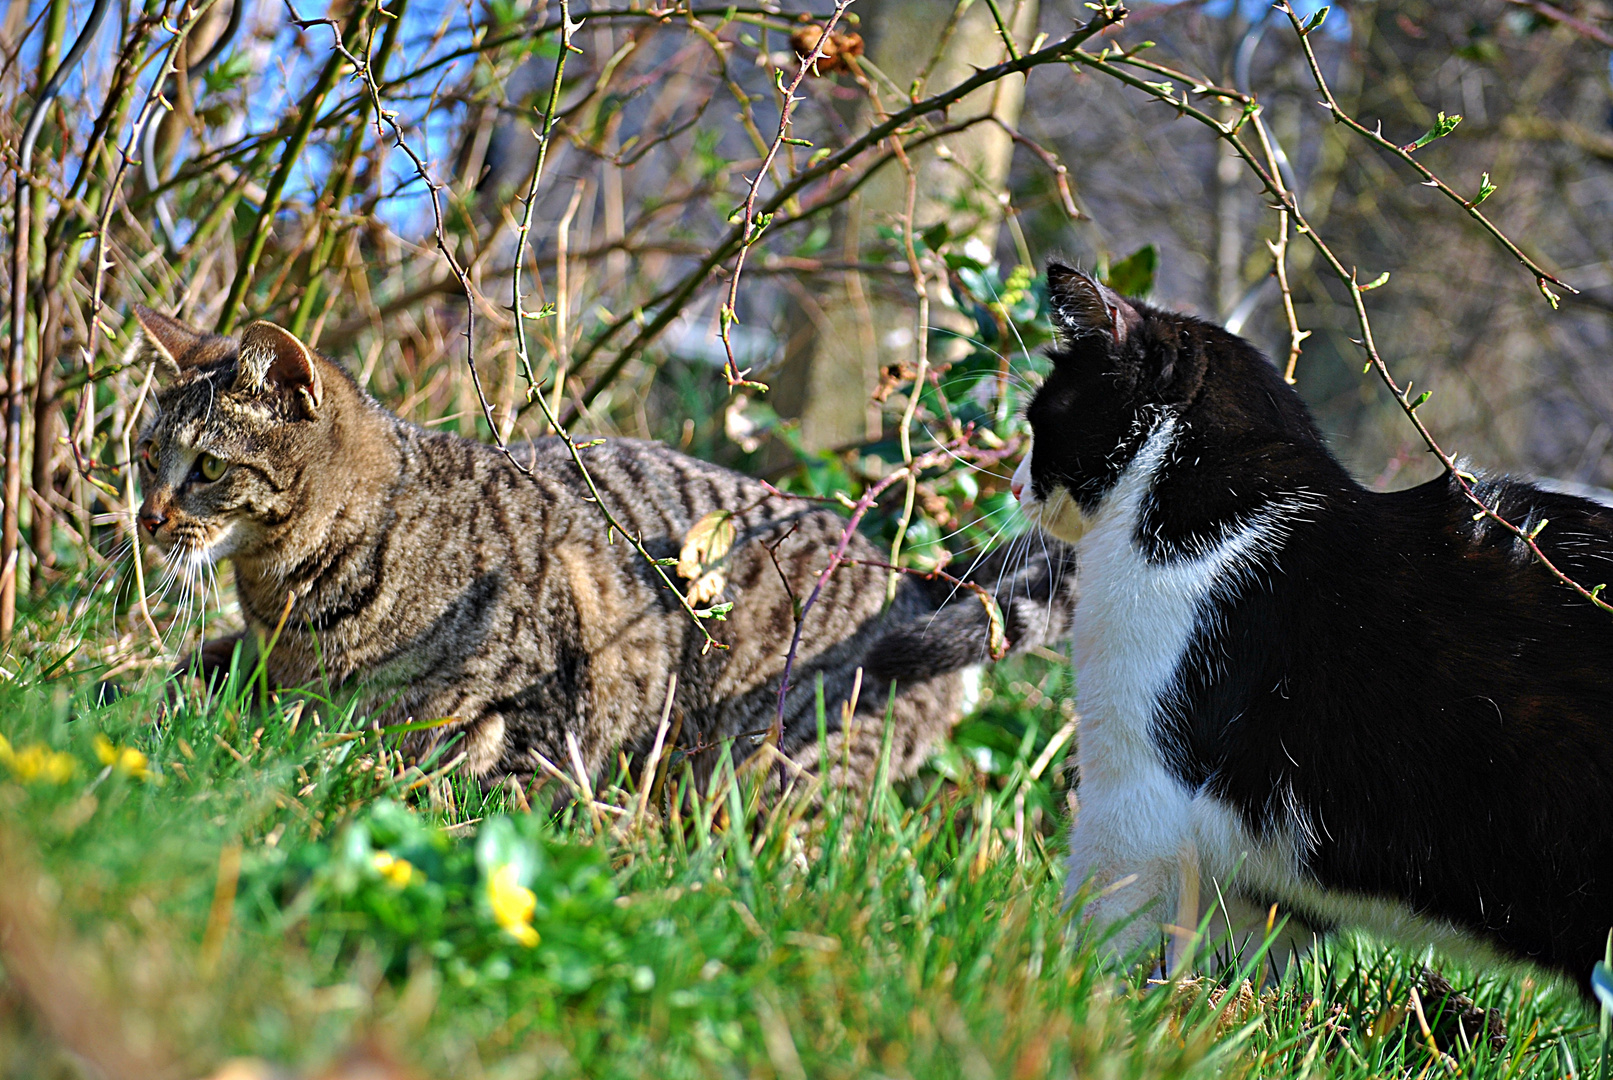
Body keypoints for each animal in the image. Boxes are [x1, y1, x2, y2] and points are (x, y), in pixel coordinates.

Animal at [135, 309, 1071, 789]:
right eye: (146, 455)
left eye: (207, 466)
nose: (146, 516)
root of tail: (914, 577)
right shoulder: (262, 665)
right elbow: (181, 677)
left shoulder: (545, 696)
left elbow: (482, 794)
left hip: (777, 761)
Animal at [1012, 259, 1613, 992]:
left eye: (1039, 420)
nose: (1013, 486)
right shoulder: (1261, 877)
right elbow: (1228, 965)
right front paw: (1199, 1010)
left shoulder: (1135, 792)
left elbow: (1100, 930)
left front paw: (1060, 988)